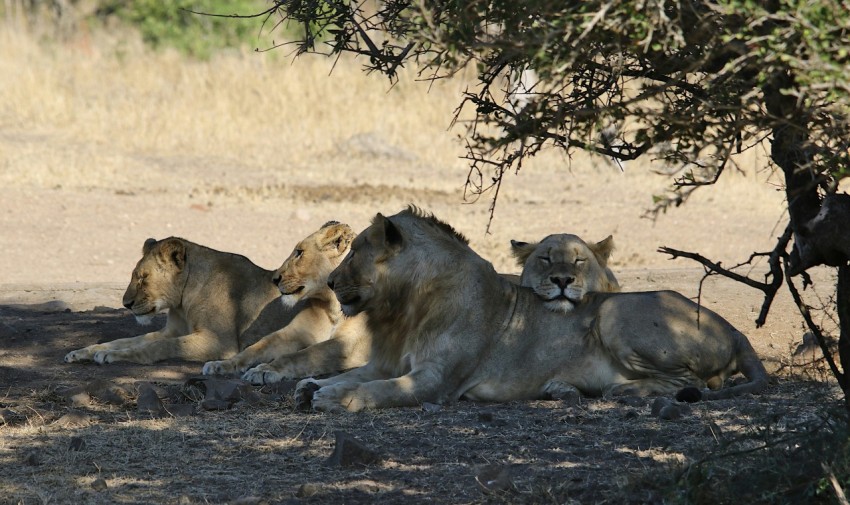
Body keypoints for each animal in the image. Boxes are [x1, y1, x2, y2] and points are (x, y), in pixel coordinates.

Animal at [204, 220, 370, 382]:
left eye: (300, 252)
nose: (274, 279)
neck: (332, 306)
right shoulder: (295, 332)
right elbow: (257, 347)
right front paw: (221, 364)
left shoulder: (351, 344)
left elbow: (301, 355)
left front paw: (264, 370)